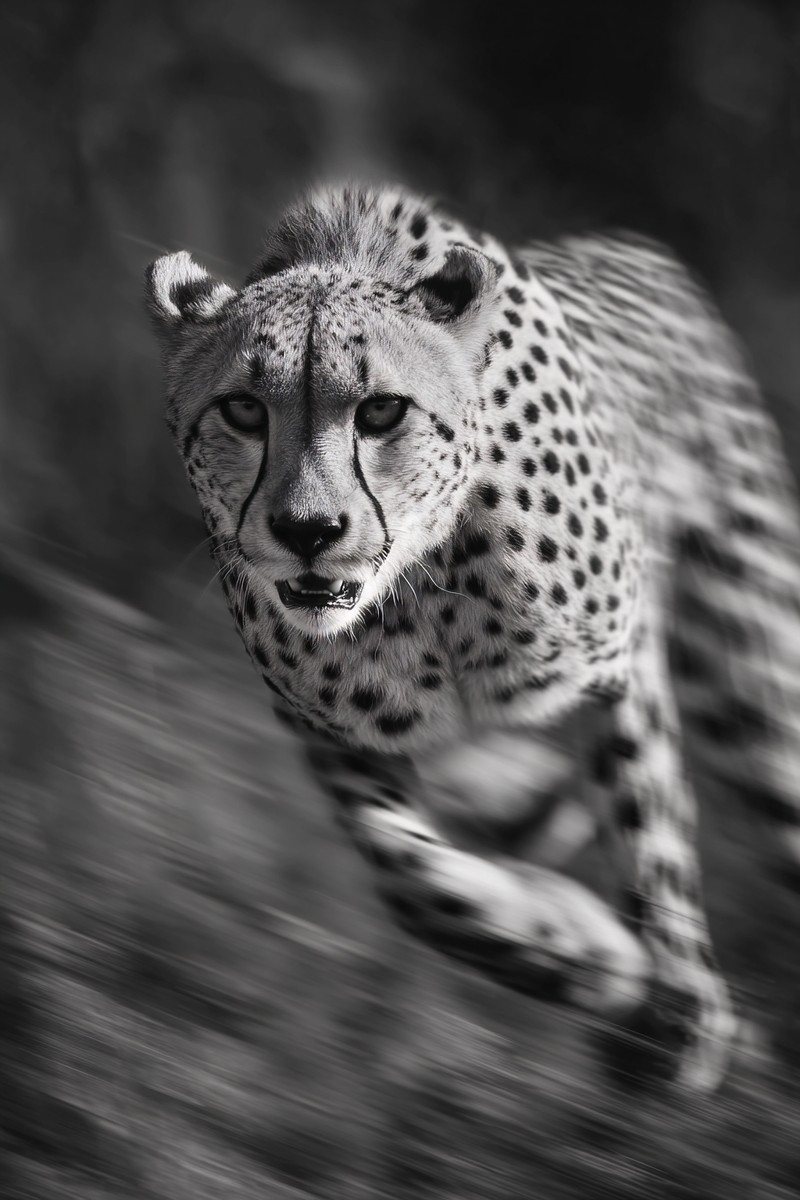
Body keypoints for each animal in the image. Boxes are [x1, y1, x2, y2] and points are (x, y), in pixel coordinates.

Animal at [146, 184, 800, 1092]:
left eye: (382, 409)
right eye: (243, 408)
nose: (309, 531)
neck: (428, 583)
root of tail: (638, 247)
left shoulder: (620, 663)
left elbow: (651, 831)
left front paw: (678, 1013)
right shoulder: (332, 732)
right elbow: (418, 885)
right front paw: (587, 955)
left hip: (751, 683)